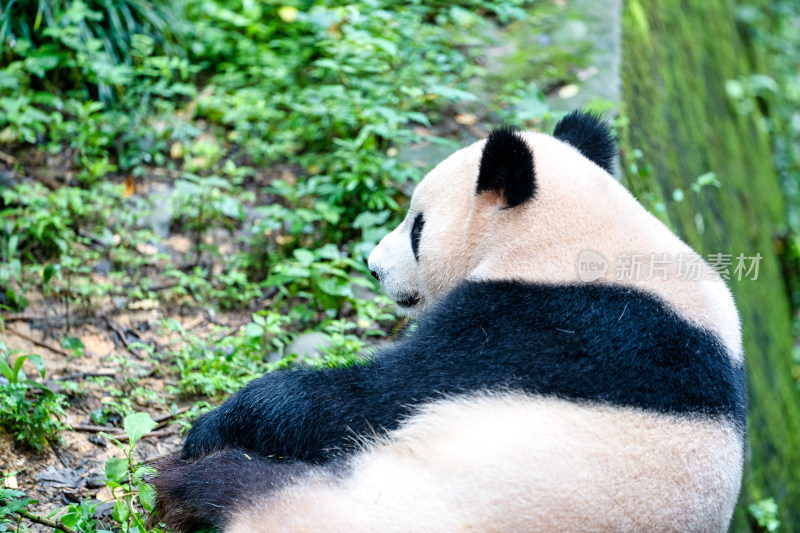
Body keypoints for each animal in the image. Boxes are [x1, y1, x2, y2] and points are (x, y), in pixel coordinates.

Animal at [155, 110, 744, 528]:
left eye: (417, 225)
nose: (373, 266)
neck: (583, 241)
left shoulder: (541, 326)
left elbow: (379, 398)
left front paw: (218, 422)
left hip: (380, 503)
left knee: (257, 488)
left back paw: (192, 482)